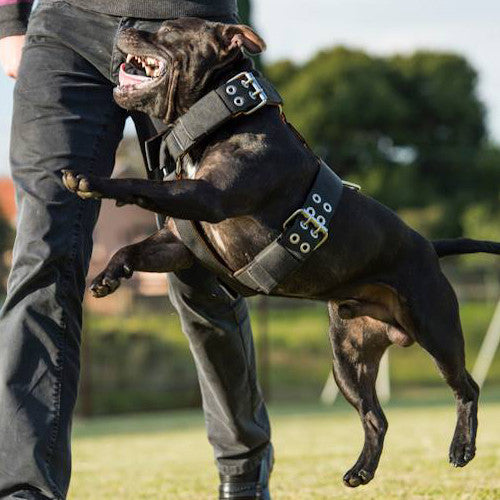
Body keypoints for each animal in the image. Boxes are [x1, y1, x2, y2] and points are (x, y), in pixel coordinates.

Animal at [62, 19, 500, 488]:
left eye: (169, 27)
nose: (126, 23)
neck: (223, 119)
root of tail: (430, 247)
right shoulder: (181, 242)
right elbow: (135, 247)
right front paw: (109, 275)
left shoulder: (208, 196)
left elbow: (140, 186)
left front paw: (93, 181)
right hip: (347, 361)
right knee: (376, 418)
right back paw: (361, 471)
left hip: (436, 332)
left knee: (466, 387)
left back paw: (461, 448)